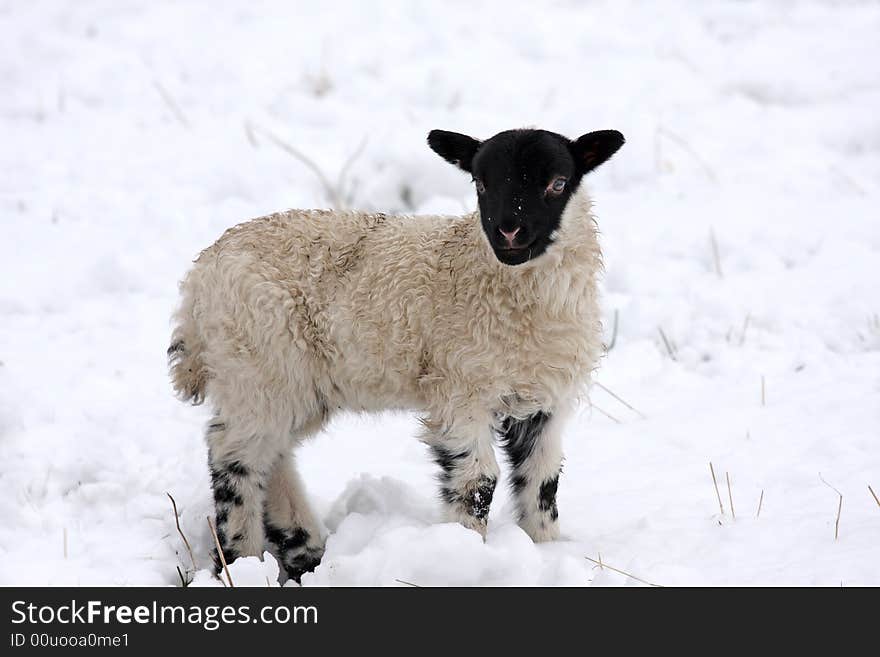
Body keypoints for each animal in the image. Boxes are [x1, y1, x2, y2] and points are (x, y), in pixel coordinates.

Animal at [170, 125, 624, 580]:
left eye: (558, 183)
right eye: (480, 183)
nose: (508, 233)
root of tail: (199, 275)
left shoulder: (545, 400)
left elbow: (542, 480)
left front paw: (546, 550)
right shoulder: (459, 389)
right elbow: (477, 482)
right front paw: (462, 554)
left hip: (295, 382)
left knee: (271, 451)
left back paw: (302, 548)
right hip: (257, 362)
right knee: (234, 454)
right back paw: (240, 559)